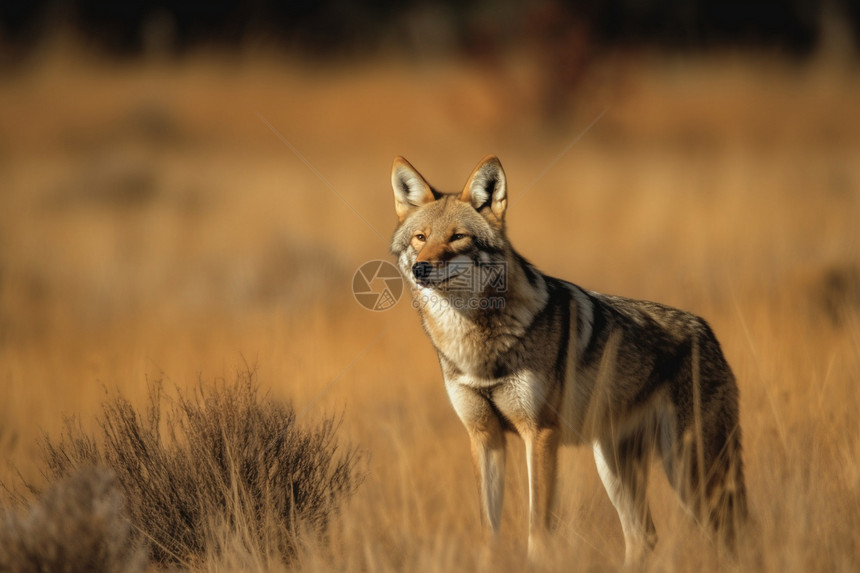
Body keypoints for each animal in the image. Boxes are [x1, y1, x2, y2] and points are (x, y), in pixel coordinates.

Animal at [388, 154, 744, 560]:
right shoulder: (484, 437)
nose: (421, 267)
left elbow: (538, 530)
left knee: (727, 534)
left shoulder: (540, 434)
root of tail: (706, 331)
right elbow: (488, 532)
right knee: (644, 537)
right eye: (421, 238)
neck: (474, 343)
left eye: (457, 237)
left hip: (690, 472)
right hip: (615, 466)